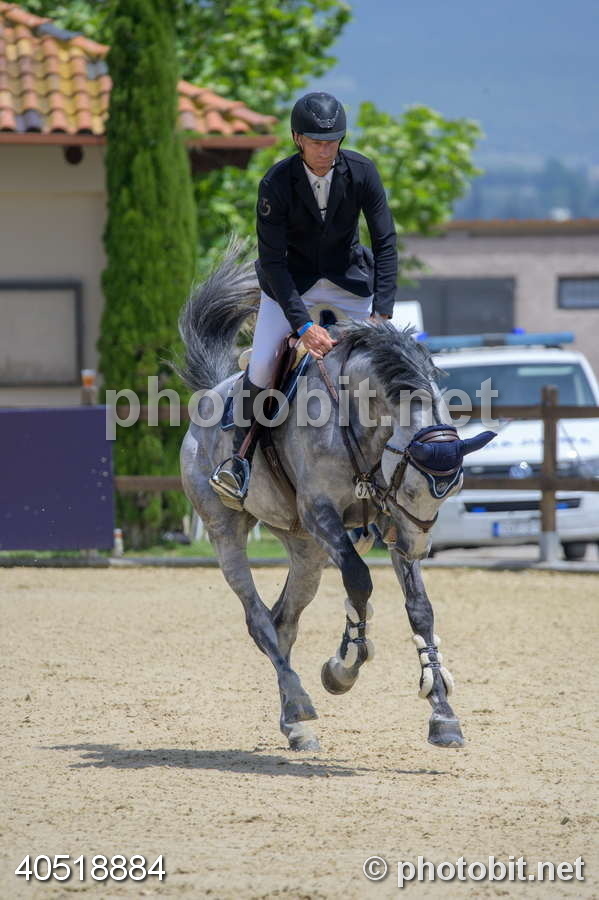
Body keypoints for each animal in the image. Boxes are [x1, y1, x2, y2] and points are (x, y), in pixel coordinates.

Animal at [178, 244, 495, 752]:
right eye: (412, 486)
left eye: (453, 492)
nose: (418, 549)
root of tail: (212, 392)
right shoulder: (324, 514)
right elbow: (359, 581)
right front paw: (343, 667)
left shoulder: (383, 522)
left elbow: (419, 611)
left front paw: (443, 715)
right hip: (227, 530)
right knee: (258, 618)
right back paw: (301, 704)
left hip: (304, 547)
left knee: (284, 620)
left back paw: (294, 724)